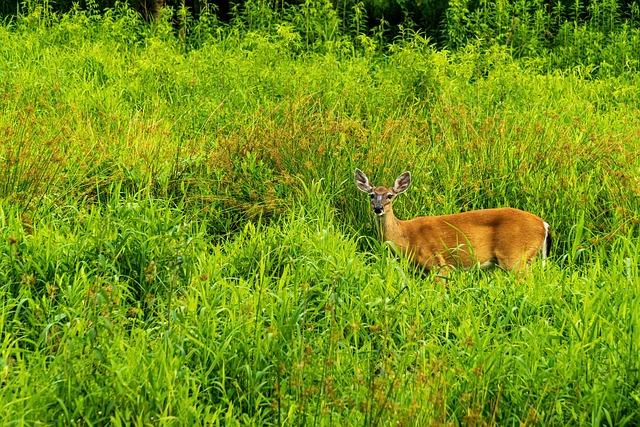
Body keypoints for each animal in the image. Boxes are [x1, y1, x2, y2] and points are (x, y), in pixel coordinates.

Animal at [356, 169, 552, 272]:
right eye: (371, 195)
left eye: (390, 196)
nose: (378, 208)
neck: (405, 236)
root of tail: (544, 224)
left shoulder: (437, 263)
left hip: (515, 257)